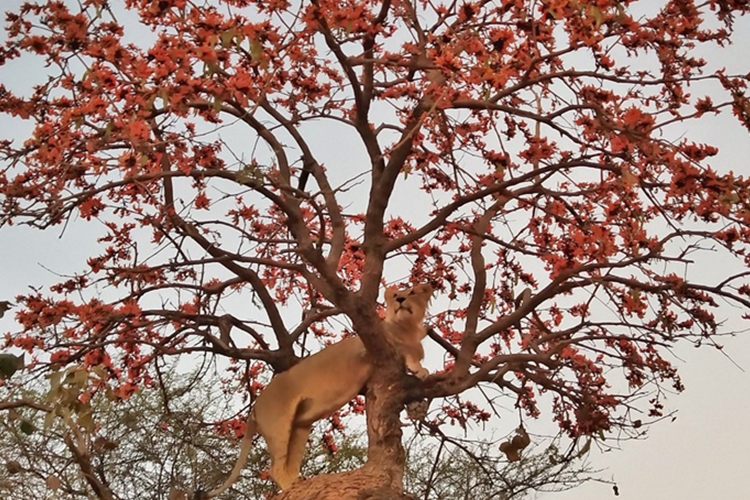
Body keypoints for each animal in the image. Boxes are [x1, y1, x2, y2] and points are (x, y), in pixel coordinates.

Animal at [206, 283, 433, 496]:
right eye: (396, 295)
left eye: (412, 293)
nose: (401, 299)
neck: (407, 327)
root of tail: (256, 405)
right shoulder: (364, 349)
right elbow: (403, 350)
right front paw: (420, 368)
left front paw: (416, 405)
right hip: (278, 424)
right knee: (276, 467)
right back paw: (292, 487)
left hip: (298, 429)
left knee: (289, 464)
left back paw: (300, 482)